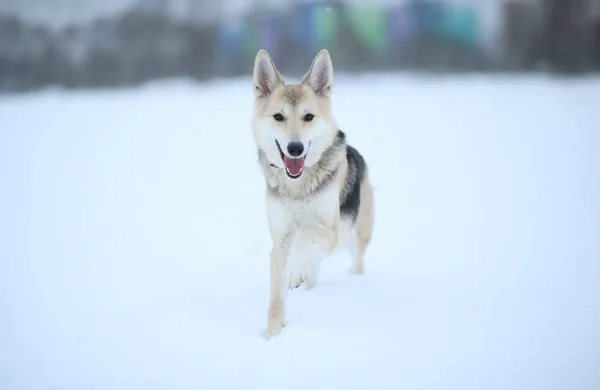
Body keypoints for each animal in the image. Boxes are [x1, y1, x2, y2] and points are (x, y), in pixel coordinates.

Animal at [250, 48, 372, 336]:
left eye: (308, 117)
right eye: (278, 117)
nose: (295, 148)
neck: (297, 186)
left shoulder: (330, 231)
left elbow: (306, 231)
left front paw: (295, 269)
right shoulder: (280, 242)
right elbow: (276, 296)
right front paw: (273, 333)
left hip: (355, 240)